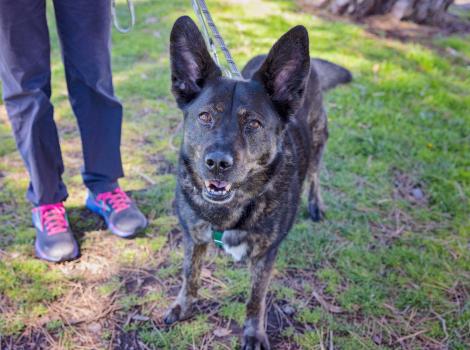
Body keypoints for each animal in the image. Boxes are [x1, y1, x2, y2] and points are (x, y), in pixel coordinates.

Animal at [163, 16, 350, 350]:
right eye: (205, 116)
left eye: (253, 123)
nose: (217, 163)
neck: (232, 209)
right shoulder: (193, 238)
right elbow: (189, 275)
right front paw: (183, 306)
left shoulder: (266, 255)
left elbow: (255, 298)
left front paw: (254, 333)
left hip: (319, 140)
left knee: (315, 174)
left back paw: (315, 204)